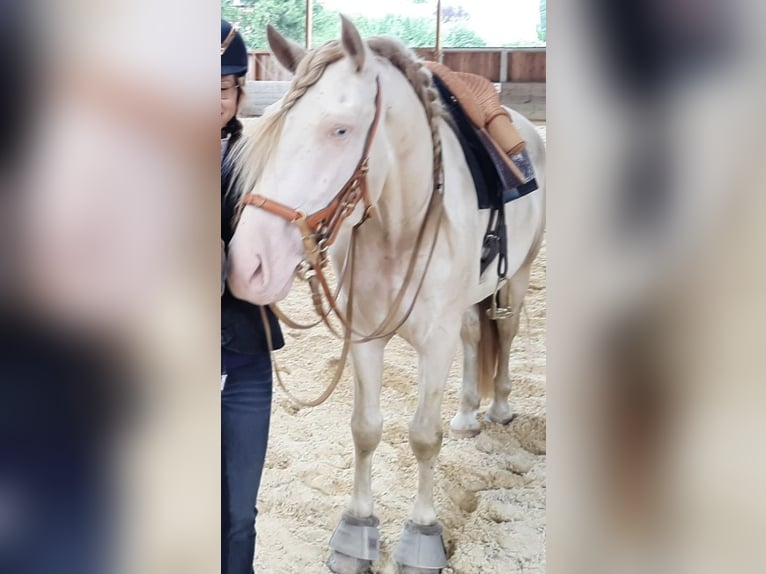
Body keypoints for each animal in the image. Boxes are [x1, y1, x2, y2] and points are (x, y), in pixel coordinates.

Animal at [226, 16, 545, 573]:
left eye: (340, 129)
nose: (248, 264)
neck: (403, 222)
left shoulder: (434, 342)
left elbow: (422, 436)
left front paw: (421, 536)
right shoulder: (365, 336)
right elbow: (366, 428)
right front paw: (356, 533)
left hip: (519, 275)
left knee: (504, 331)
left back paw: (499, 408)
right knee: (473, 337)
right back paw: (467, 414)